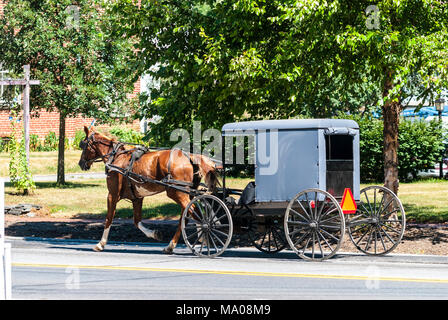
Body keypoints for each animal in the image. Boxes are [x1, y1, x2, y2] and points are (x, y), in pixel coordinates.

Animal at [79, 126, 222, 254]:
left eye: (83, 144)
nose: (80, 163)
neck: (117, 158)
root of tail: (190, 156)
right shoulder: (137, 198)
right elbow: (137, 222)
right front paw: (154, 234)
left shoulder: (112, 195)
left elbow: (109, 218)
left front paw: (100, 244)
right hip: (187, 193)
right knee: (186, 216)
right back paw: (171, 246)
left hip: (177, 193)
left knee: (195, 213)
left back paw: (204, 235)